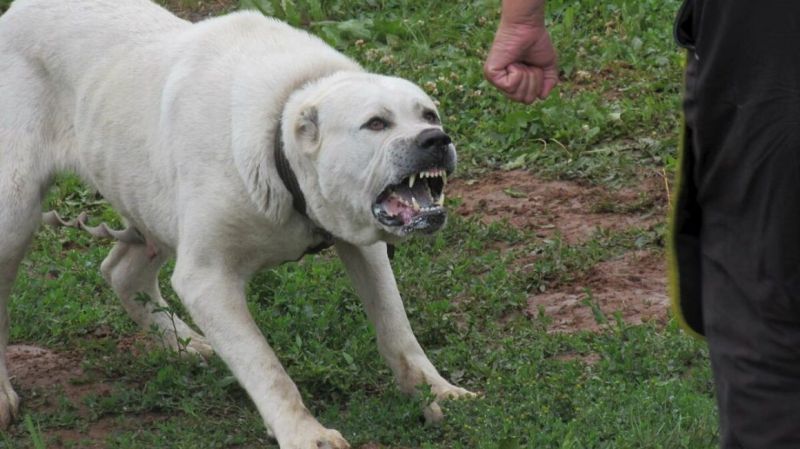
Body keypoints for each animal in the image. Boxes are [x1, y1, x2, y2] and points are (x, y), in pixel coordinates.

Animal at [0, 1, 472, 446]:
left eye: (429, 115)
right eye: (375, 123)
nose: (436, 140)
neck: (280, 144)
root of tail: (16, 12)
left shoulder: (364, 245)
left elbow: (397, 329)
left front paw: (437, 392)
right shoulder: (207, 278)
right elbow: (266, 366)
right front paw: (305, 433)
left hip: (148, 199)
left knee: (121, 272)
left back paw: (186, 344)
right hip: (15, 213)